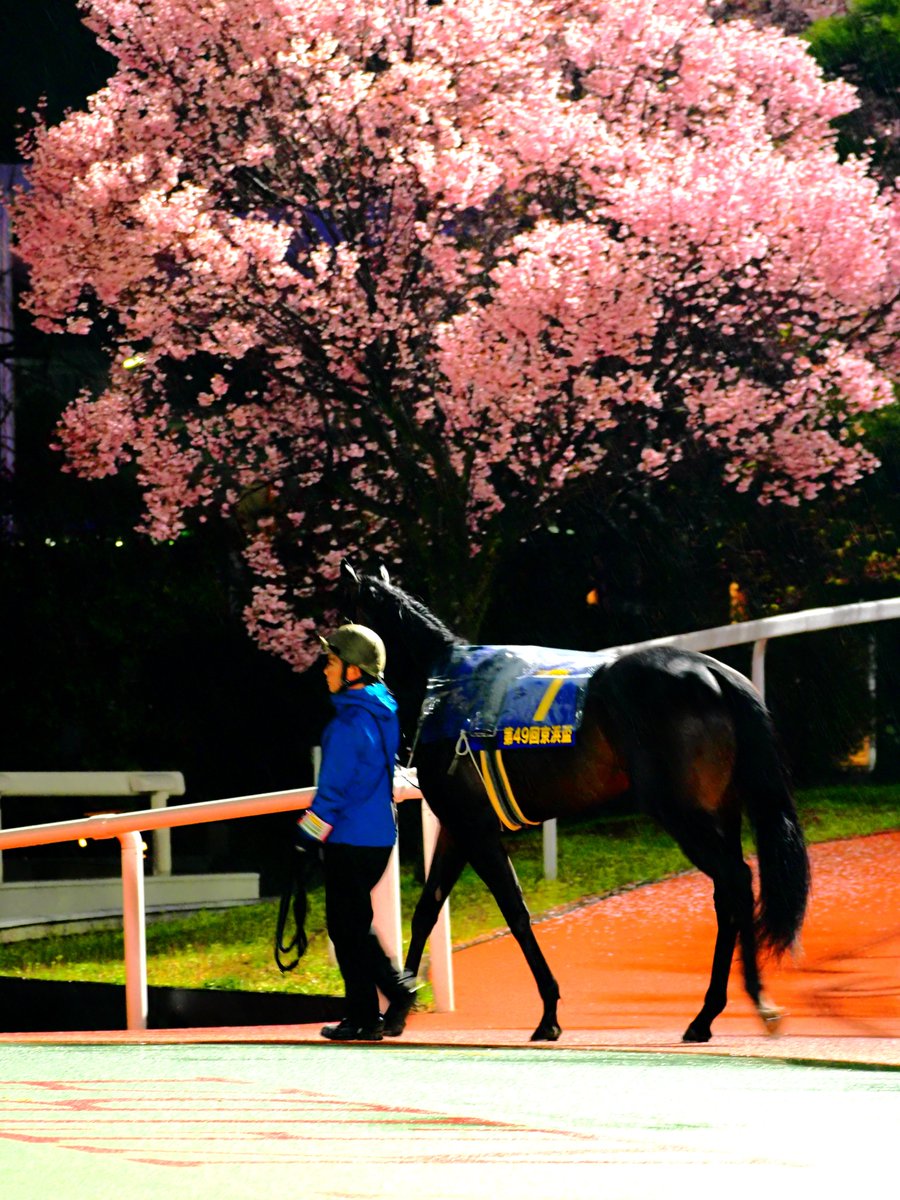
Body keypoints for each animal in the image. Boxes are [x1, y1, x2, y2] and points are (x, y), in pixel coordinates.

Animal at [341, 562, 810, 1043]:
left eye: (341, 612)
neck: (445, 691)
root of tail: (718, 675)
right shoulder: (457, 827)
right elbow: (426, 910)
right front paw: (398, 1009)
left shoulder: (475, 827)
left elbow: (515, 913)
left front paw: (548, 1013)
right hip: (720, 810)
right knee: (729, 892)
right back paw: (726, 1009)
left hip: (683, 812)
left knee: (735, 880)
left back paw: (736, 1006)